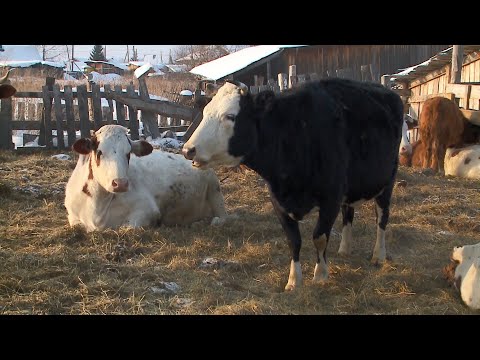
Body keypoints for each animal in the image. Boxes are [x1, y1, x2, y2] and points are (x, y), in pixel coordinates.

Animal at [64, 124, 228, 232]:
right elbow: (77, 225)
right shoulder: (72, 216)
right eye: (99, 152)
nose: (120, 183)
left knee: (221, 218)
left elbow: (129, 227)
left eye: (128, 153)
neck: (98, 206)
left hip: (215, 189)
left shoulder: (148, 210)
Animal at [182, 78, 404, 290]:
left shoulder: (331, 197)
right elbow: (293, 240)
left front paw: (320, 276)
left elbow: (319, 237)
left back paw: (378, 255)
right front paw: (293, 281)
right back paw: (344, 249)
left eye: (230, 116)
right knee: (348, 213)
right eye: (205, 112)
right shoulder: (278, 201)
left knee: (381, 219)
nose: (187, 149)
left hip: (388, 182)